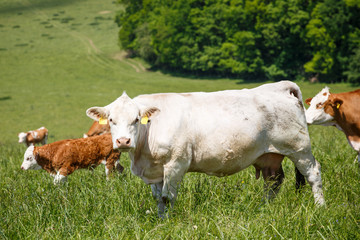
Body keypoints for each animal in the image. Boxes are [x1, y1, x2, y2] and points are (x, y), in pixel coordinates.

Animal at [86, 81, 324, 218]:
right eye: (111, 120)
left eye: (136, 119)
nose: (123, 141)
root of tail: (281, 87)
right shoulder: (155, 170)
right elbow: (158, 199)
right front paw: (160, 220)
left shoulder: (176, 163)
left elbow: (167, 197)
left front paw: (169, 222)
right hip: (269, 155)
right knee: (273, 182)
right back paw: (264, 209)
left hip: (299, 148)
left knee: (313, 174)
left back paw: (320, 207)